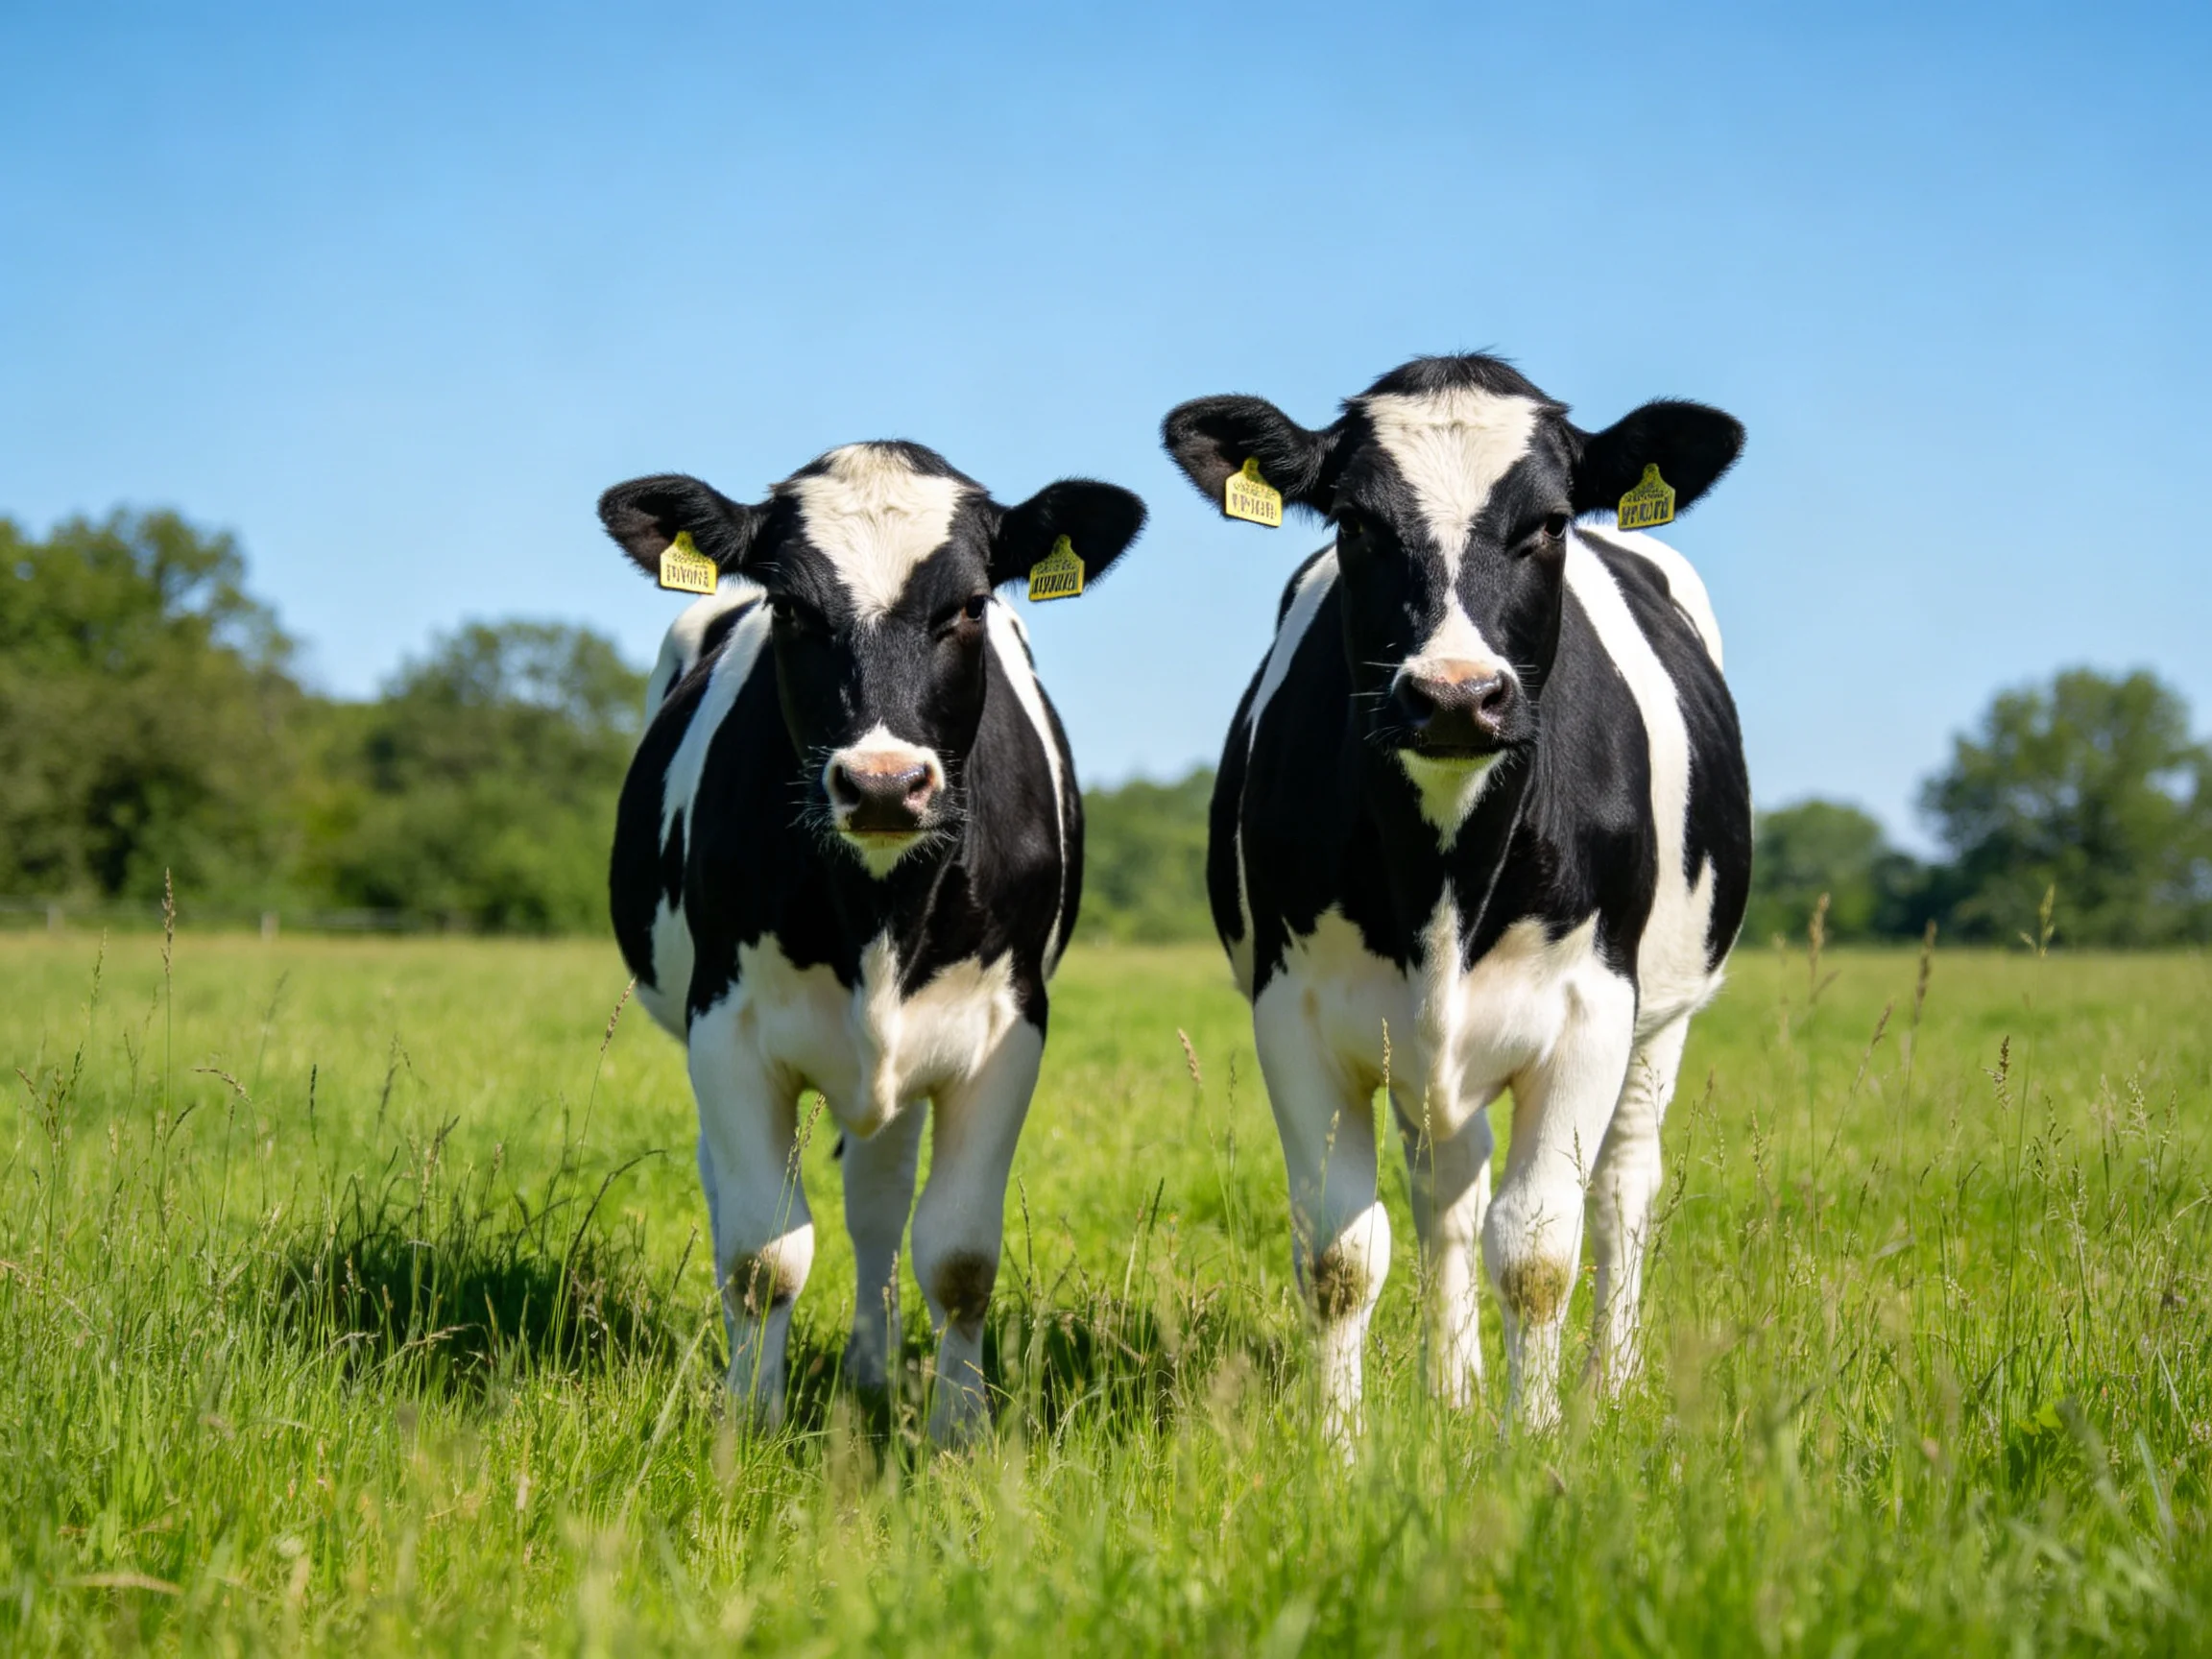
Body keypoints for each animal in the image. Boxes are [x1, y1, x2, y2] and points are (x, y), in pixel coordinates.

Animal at [599, 442, 1145, 1441]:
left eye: (968, 605)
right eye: (791, 607)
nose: (886, 783)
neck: (878, 911)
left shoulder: (1007, 1033)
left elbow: (959, 1258)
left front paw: (959, 1432)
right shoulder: (725, 1029)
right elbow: (762, 1255)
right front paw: (752, 1422)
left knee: (879, 1206)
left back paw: (869, 1369)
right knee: (733, 1194)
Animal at [1162, 355, 1751, 1435]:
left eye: (1550, 522)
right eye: (1355, 522)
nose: (1453, 696)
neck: (1442, 869)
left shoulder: (1592, 1011)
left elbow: (1538, 1250)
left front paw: (1539, 1439)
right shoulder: (1295, 1014)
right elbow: (1343, 1253)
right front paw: (1343, 1448)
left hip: (1663, 1019)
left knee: (1622, 1188)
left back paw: (1610, 1380)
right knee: (1449, 1193)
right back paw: (1456, 1388)